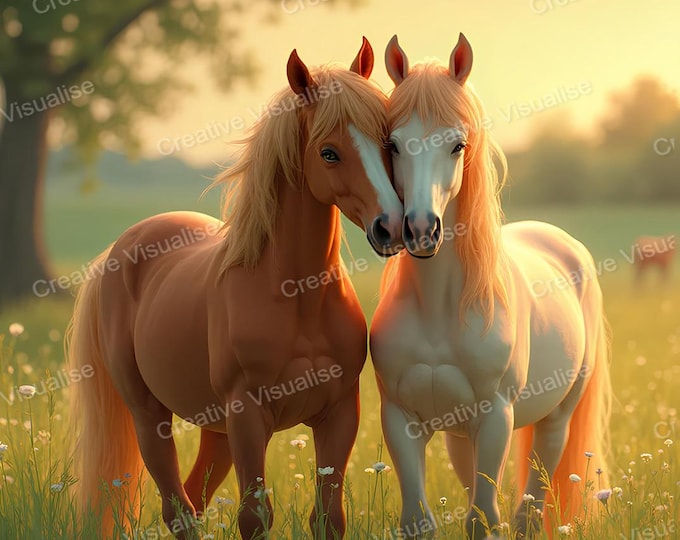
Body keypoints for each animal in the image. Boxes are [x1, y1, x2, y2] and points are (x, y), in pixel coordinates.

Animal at [67, 38, 404, 540]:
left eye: (387, 142)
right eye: (328, 152)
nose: (393, 227)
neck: (295, 295)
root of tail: (122, 246)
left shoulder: (340, 413)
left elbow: (328, 517)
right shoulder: (247, 416)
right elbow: (254, 517)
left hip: (216, 429)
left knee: (194, 500)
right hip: (150, 416)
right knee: (178, 509)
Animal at [369, 34, 612, 539]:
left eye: (458, 145)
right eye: (393, 144)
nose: (420, 230)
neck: (439, 307)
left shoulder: (496, 417)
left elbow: (484, 518)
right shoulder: (401, 420)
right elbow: (421, 520)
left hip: (555, 421)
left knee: (530, 509)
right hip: (462, 436)